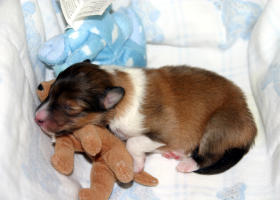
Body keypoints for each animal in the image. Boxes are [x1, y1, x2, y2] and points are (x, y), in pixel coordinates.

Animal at [35, 61, 256, 174]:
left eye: (69, 107)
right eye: (51, 91)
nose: (37, 117)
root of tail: (251, 126)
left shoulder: (164, 131)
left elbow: (133, 142)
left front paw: (138, 164)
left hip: (218, 126)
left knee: (209, 155)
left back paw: (187, 164)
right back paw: (175, 154)